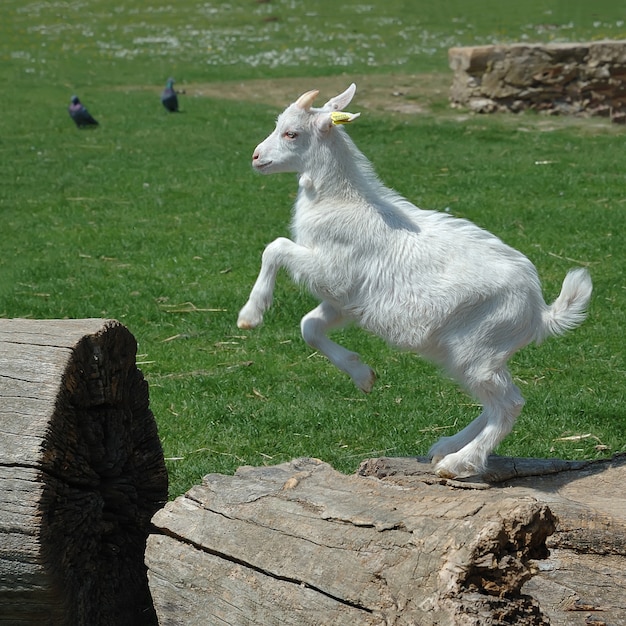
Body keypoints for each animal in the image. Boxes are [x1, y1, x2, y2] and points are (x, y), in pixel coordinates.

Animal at [238, 84, 588, 478]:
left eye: (291, 133)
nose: (256, 157)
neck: (342, 202)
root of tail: (541, 312)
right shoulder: (344, 299)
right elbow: (309, 327)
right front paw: (363, 375)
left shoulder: (331, 269)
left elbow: (275, 248)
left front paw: (250, 315)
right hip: (470, 354)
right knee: (495, 401)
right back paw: (446, 446)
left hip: (478, 348)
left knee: (509, 403)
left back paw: (458, 463)